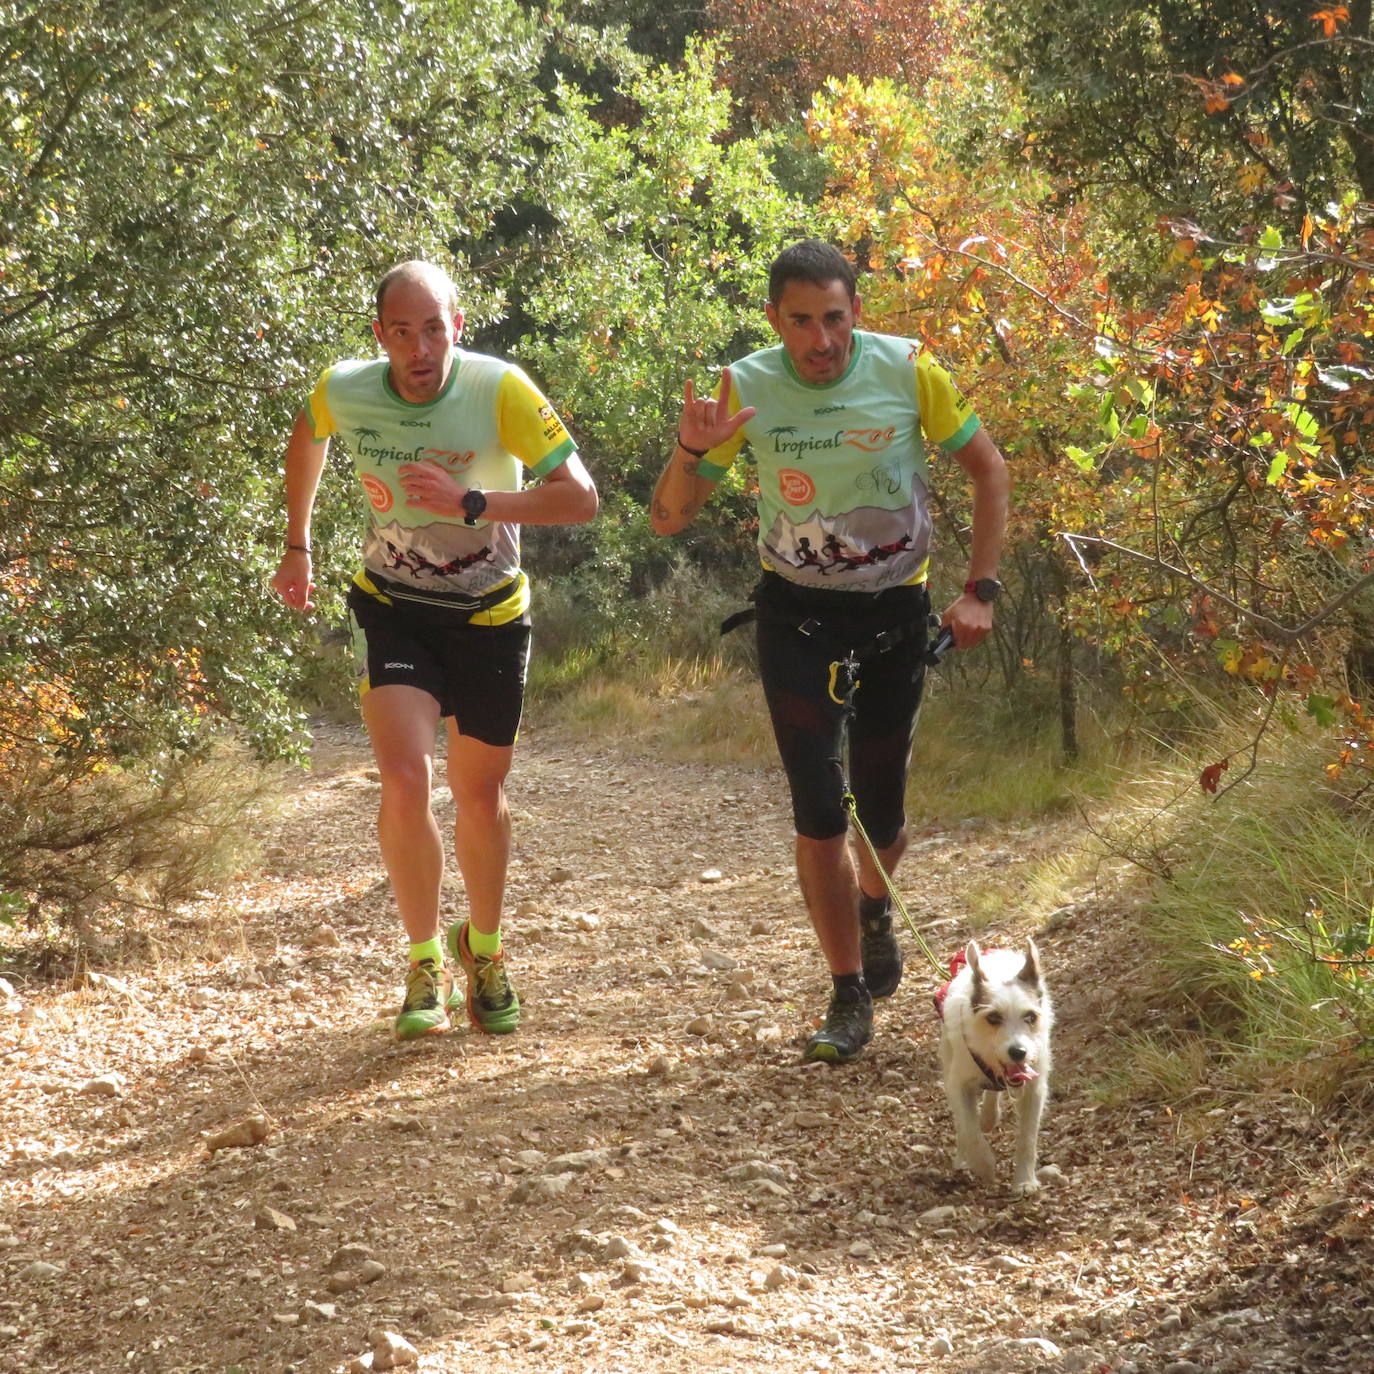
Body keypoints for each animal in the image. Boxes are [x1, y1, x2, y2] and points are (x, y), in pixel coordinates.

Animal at [934, 939, 1049, 1198]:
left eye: (1031, 1016)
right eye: (993, 1017)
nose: (1018, 1052)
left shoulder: (1034, 1088)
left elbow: (1028, 1137)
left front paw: (1025, 1181)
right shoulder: (959, 1085)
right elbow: (970, 1130)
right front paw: (983, 1164)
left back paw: (988, 1115)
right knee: (962, 1122)